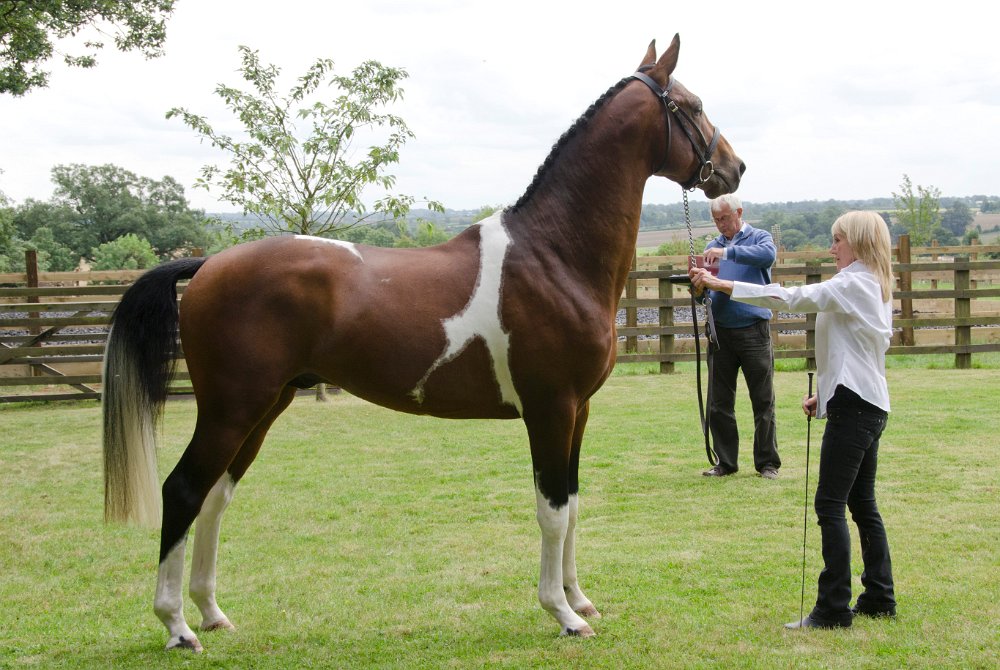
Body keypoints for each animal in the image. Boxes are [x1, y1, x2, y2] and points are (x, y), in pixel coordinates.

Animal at [102, 34, 744, 652]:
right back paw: (177, 627)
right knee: (183, 490)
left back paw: (211, 614)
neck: (554, 254)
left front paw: (579, 600)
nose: (734, 168)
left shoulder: (579, 412)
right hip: (231, 409)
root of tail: (208, 265)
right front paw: (562, 615)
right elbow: (552, 512)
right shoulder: (551, 410)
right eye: (691, 106)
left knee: (214, 497)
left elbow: (574, 503)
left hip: (263, 407)